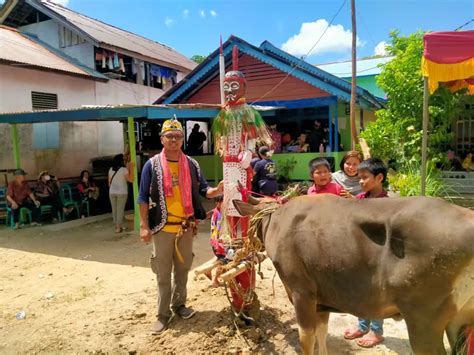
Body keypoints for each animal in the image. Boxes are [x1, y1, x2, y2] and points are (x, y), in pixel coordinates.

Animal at [234, 195, 474, 355]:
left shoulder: (302, 293)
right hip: (460, 318)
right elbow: (322, 332)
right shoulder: (322, 301)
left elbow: (306, 340)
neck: (276, 221)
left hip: (423, 319)